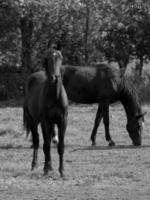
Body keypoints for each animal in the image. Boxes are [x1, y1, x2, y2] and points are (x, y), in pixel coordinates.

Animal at [23, 48, 68, 177]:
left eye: (60, 58)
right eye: (48, 59)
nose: (54, 77)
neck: (55, 96)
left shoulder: (63, 121)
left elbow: (60, 146)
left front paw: (61, 170)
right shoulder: (44, 121)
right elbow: (46, 145)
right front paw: (46, 169)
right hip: (33, 121)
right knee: (37, 141)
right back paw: (34, 165)